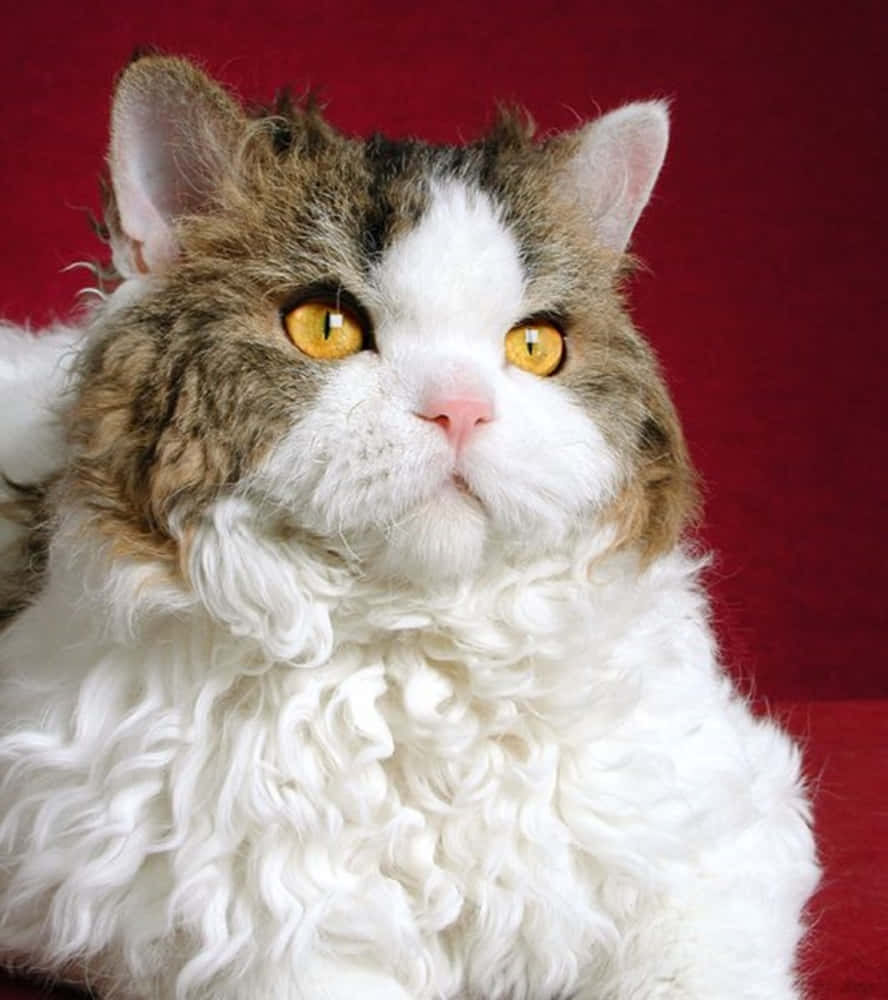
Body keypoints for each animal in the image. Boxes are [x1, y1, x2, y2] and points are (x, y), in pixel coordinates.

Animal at [0, 52, 820, 1000]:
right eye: (325, 326)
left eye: (535, 346)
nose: (461, 410)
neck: (417, 659)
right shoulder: (264, 939)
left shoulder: (726, 838)